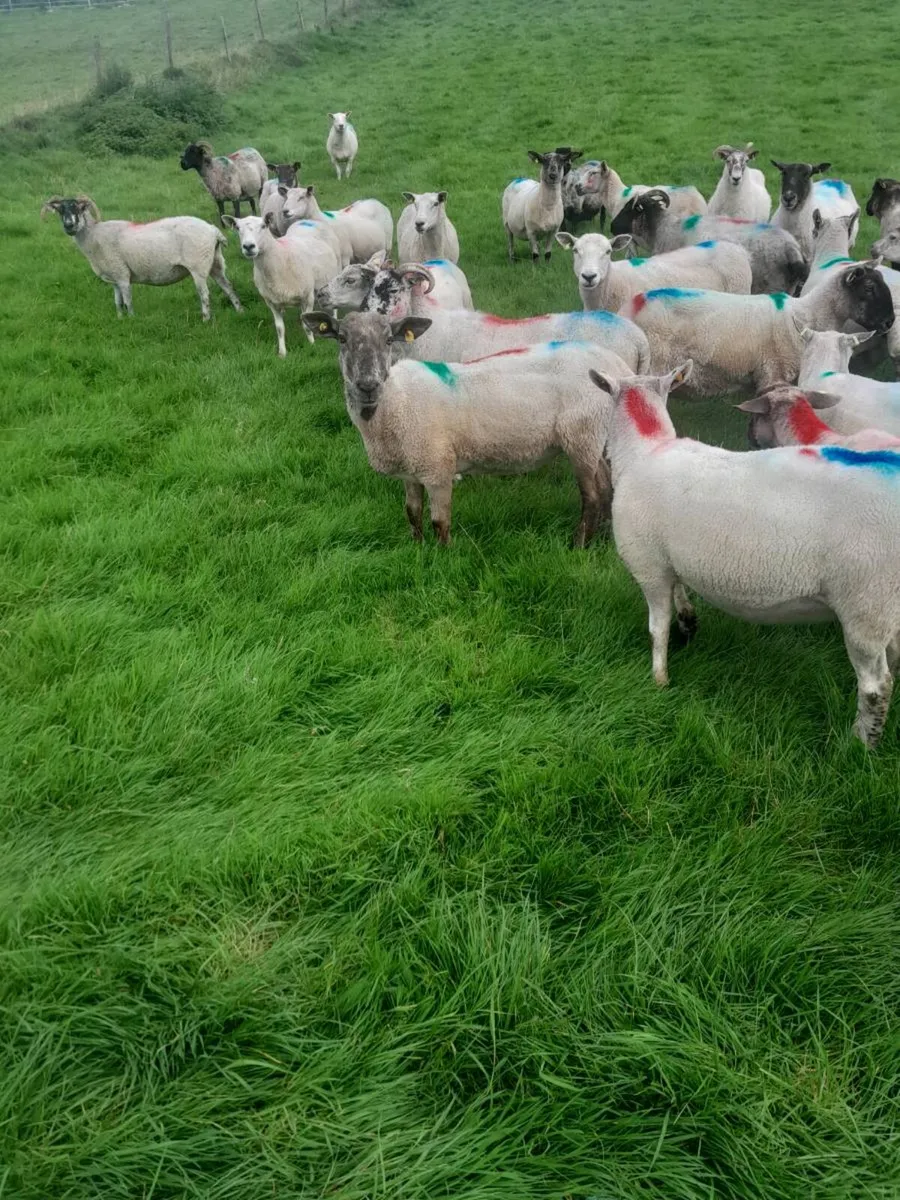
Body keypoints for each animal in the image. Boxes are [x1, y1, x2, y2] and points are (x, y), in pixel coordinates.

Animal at [41, 195, 242, 320]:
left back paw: (205, 319)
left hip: (198, 266)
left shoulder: (122, 274)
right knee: (228, 287)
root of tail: (213, 230)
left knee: (205, 294)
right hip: (215, 263)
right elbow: (117, 301)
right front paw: (120, 318)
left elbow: (127, 300)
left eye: (78, 208)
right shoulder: (114, 276)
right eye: (60, 211)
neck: (94, 236)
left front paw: (131, 319)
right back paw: (241, 310)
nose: (69, 225)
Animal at [223, 214, 339, 356]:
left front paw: (312, 345)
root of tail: (308, 220)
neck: (280, 258)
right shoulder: (272, 302)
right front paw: (282, 353)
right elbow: (279, 328)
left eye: (264, 226)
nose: (248, 246)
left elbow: (306, 326)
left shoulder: (308, 297)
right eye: (238, 228)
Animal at [302, 310, 632, 547]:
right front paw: (417, 549)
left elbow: (440, 522)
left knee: (592, 495)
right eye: (341, 339)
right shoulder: (410, 468)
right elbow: (412, 512)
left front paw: (442, 557)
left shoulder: (437, 467)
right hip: (596, 434)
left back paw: (579, 544)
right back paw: (602, 537)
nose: (368, 385)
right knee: (606, 487)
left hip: (581, 434)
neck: (395, 401)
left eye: (389, 340)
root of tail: (617, 367)